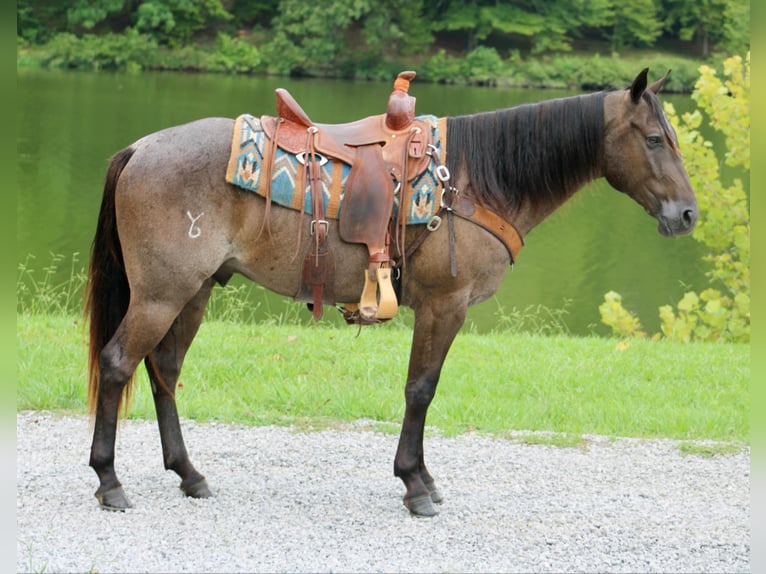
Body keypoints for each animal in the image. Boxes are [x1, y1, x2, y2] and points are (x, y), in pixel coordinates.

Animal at [85, 67, 704, 516]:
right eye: (654, 138)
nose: (688, 214)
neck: (473, 181)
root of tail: (140, 148)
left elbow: (423, 389)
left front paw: (423, 477)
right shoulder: (443, 306)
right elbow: (420, 390)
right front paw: (415, 485)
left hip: (191, 293)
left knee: (163, 369)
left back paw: (188, 474)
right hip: (161, 295)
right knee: (118, 363)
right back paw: (110, 481)